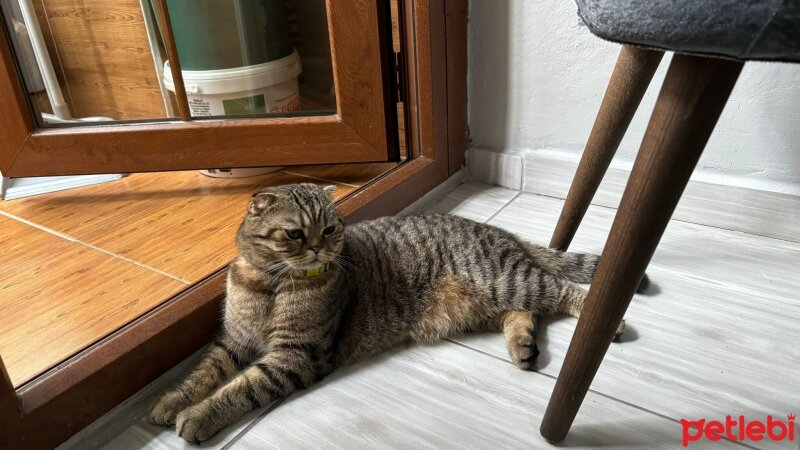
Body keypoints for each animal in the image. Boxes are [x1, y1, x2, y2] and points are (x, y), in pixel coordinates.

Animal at [147, 181, 648, 442]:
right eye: (295, 234)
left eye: (331, 229)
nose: (319, 248)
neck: (271, 283)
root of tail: (498, 231)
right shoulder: (233, 340)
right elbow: (202, 372)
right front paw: (170, 402)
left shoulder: (296, 355)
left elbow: (243, 387)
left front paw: (199, 417)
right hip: (490, 300)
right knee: (524, 312)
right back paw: (523, 346)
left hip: (504, 279)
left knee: (562, 290)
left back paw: (609, 321)